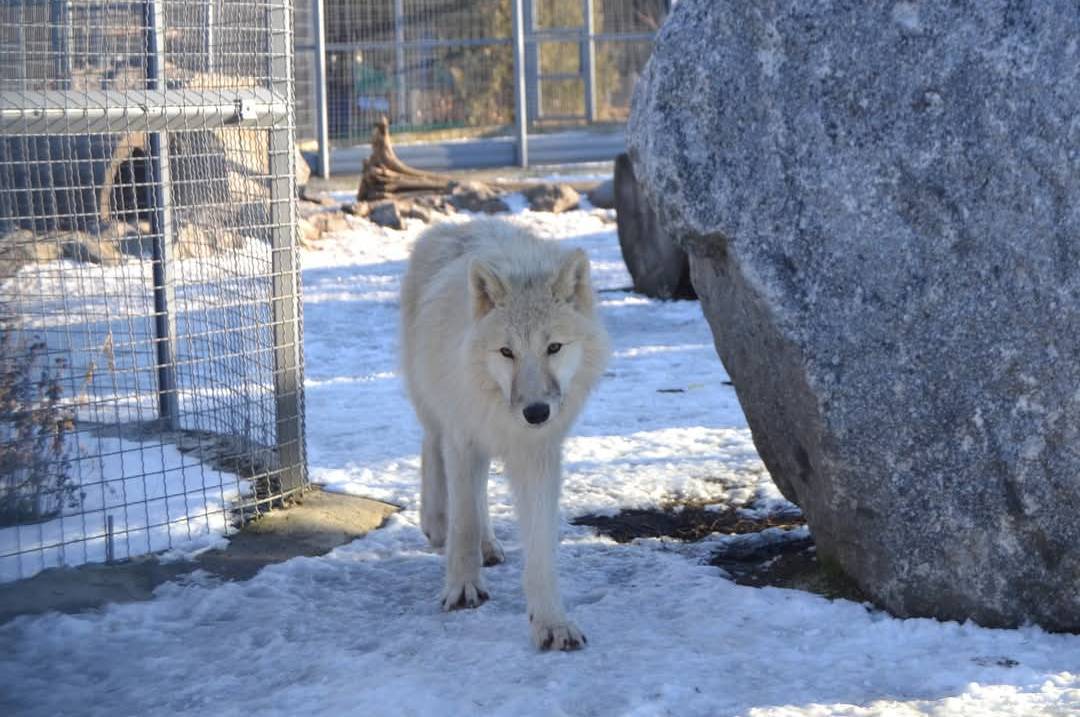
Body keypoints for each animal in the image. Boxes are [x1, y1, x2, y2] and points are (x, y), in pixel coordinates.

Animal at [401, 217, 613, 647]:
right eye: (506, 352)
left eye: (554, 347)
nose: (536, 412)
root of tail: (459, 224)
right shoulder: (463, 437)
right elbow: (463, 524)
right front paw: (462, 588)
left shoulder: (537, 453)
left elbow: (541, 548)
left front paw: (551, 623)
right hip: (435, 407)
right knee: (431, 446)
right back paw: (436, 523)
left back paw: (489, 545)